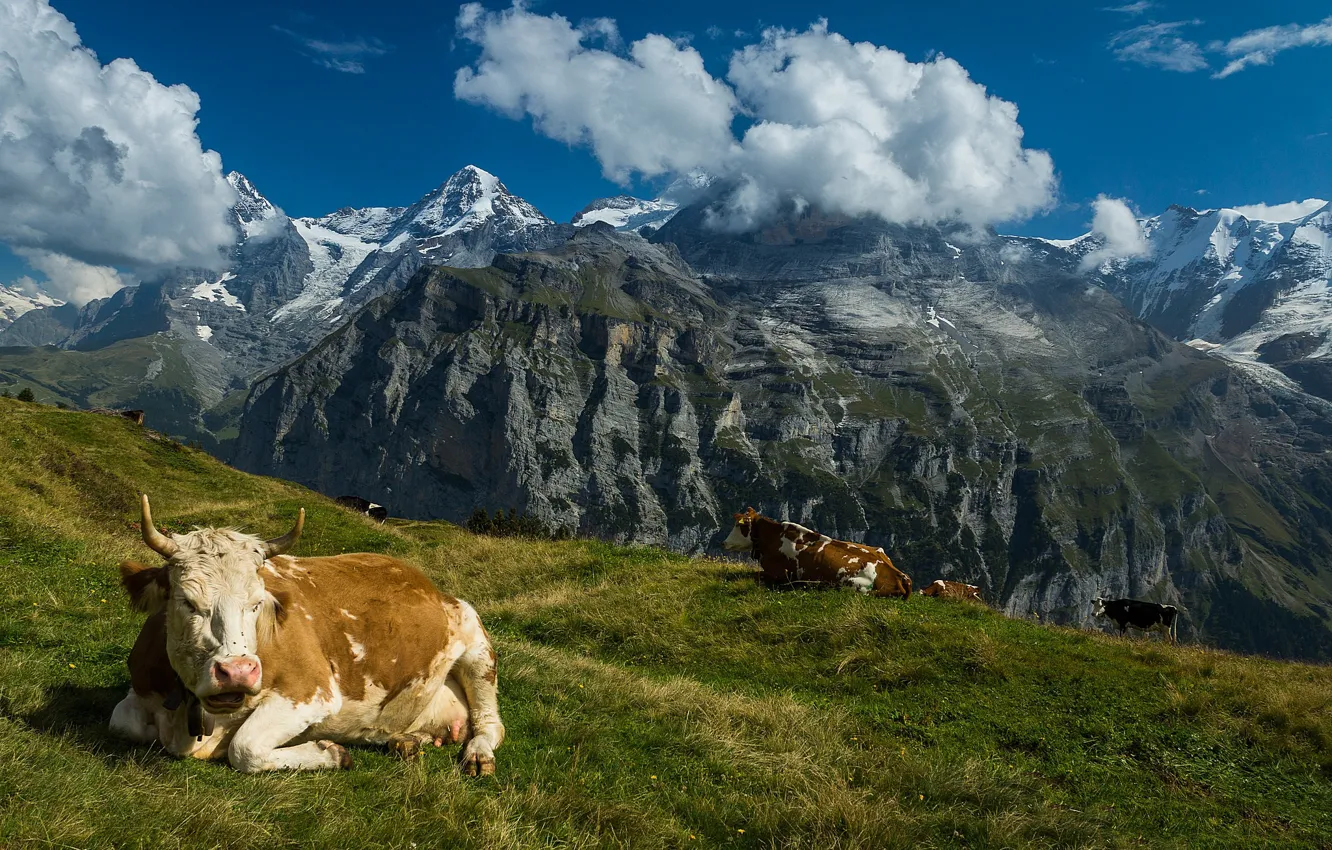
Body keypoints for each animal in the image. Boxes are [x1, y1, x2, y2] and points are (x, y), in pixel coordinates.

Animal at [108, 495, 503, 774]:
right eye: (187, 601)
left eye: (257, 602)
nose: (237, 672)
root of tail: (428, 585)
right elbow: (122, 722)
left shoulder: (312, 692)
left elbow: (245, 748)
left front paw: (331, 752)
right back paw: (407, 741)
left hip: (478, 649)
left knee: (490, 724)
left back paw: (477, 755)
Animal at [721, 507, 911, 598]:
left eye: (738, 525)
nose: (724, 542)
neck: (774, 538)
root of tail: (899, 575)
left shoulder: (778, 574)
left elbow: (755, 575)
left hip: (853, 585)